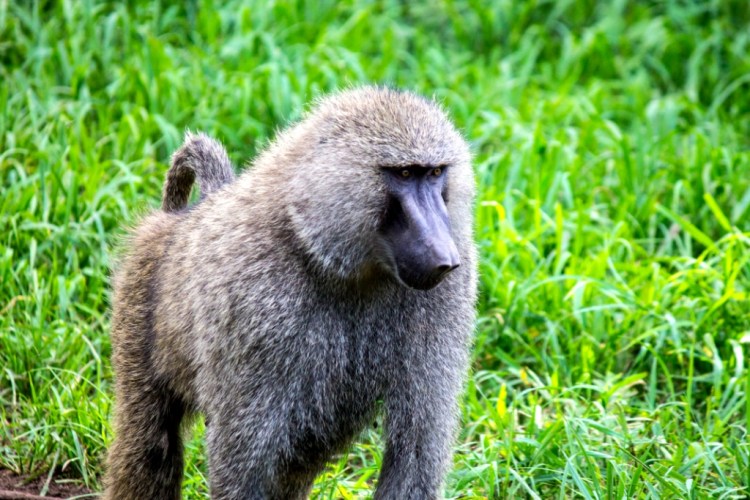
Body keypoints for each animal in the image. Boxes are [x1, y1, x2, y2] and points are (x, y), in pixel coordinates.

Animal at [104, 86, 477, 500]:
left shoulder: (447, 297)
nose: (445, 259)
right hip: (138, 302)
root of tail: (180, 221)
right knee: (150, 444)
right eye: (405, 173)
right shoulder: (254, 304)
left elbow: (415, 450)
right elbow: (240, 458)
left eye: (436, 173)